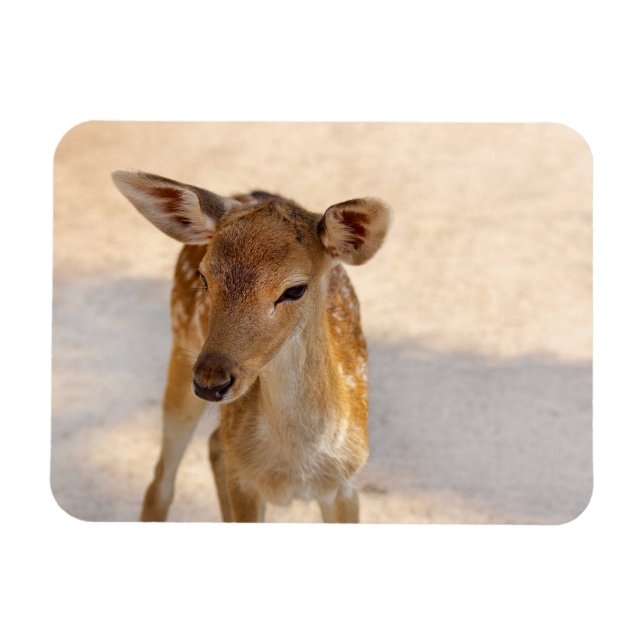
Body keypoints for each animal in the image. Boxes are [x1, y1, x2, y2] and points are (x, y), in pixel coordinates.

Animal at [111, 170, 392, 522]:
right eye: (204, 278)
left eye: (295, 289)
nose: (210, 382)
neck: (295, 468)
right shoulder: (245, 483)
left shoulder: (346, 483)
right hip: (180, 349)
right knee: (161, 482)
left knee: (215, 445)